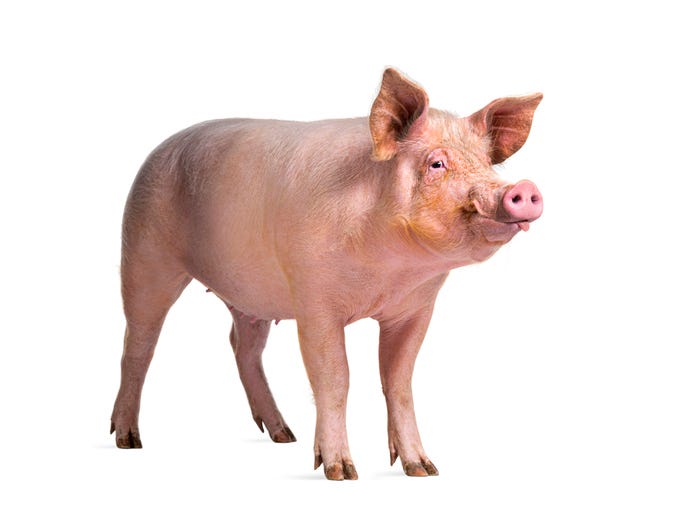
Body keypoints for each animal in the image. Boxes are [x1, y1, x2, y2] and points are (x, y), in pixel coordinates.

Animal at [111, 68, 543, 480]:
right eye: (437, 163)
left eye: (488, 164)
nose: (521, 188)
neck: (388, 275)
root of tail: (157, 150)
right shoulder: (313, 300)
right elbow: (335, 380)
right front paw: (341, 472)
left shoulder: (416, 309)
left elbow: (399, 383)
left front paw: (422, 469)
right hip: (143, 254)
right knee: (138, 343)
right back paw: (128, 440)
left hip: (249, 295)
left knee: (242, 346)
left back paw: (284, 435)